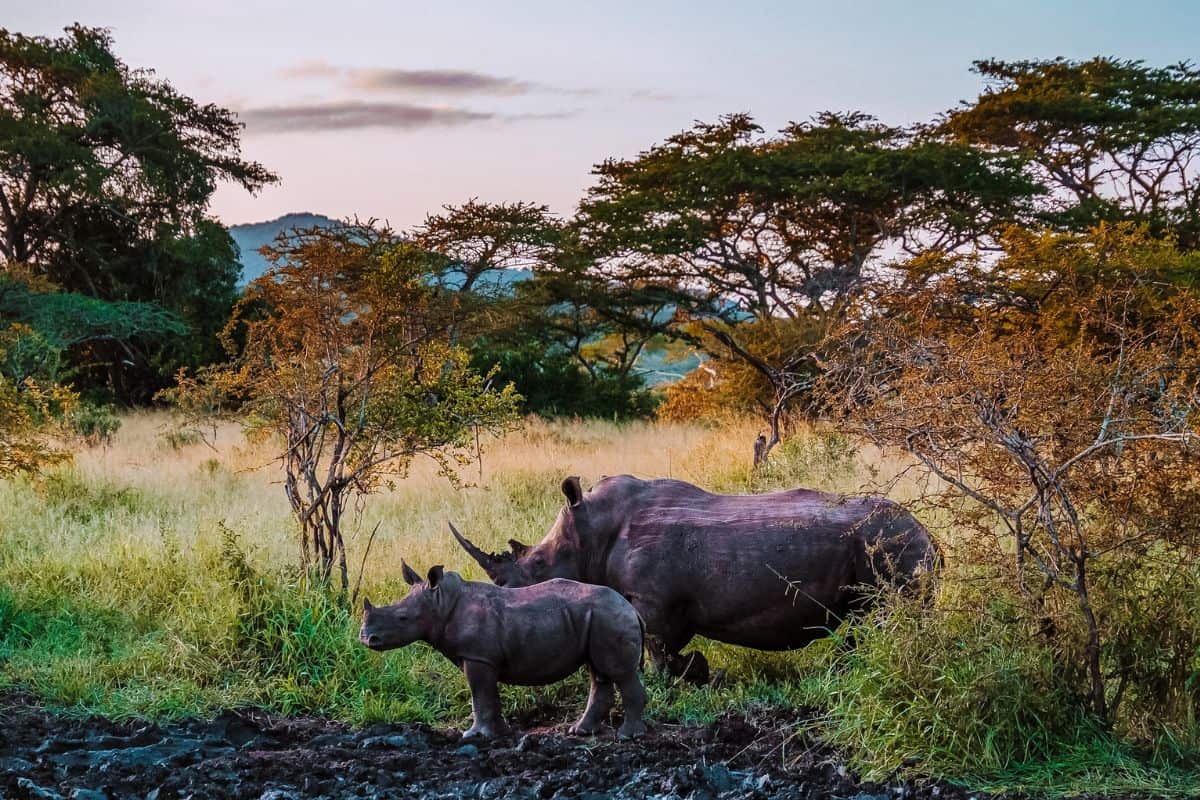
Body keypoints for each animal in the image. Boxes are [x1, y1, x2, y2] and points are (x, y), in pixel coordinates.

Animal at [359, 562, 648, 740]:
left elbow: (480, 695)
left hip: (609, 617)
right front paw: (500, 733)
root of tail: (633, 609)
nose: (365, 638)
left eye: (403, 618)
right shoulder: (483, 658)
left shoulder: (477, 656)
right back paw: (579, 732)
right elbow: (488, 695)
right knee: (598, 672)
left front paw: (474, 736)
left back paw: (627, 736)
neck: (441, 603)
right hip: (598, 618)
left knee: (619, 673)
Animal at [451, 475, 938, 682]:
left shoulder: (652, 600)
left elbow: (654, 648)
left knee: (888, 614)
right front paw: (697, 672)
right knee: (862, 620)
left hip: (894, 545)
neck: (593, 530)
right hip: (889, 544)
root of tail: (930, 535)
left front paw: (670, 684)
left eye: (537, 566)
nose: (507, 604)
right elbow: (661, 646)